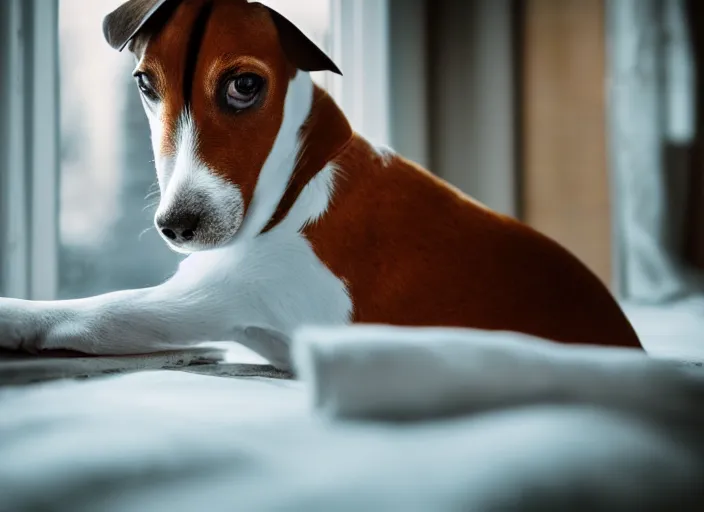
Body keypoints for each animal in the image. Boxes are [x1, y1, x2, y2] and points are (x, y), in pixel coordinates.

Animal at [0, 0, 640, 370]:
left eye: (244, 86)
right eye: (144, 84)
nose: (177, 226)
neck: (297, 178)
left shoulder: (195, 300)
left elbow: (74, 311)